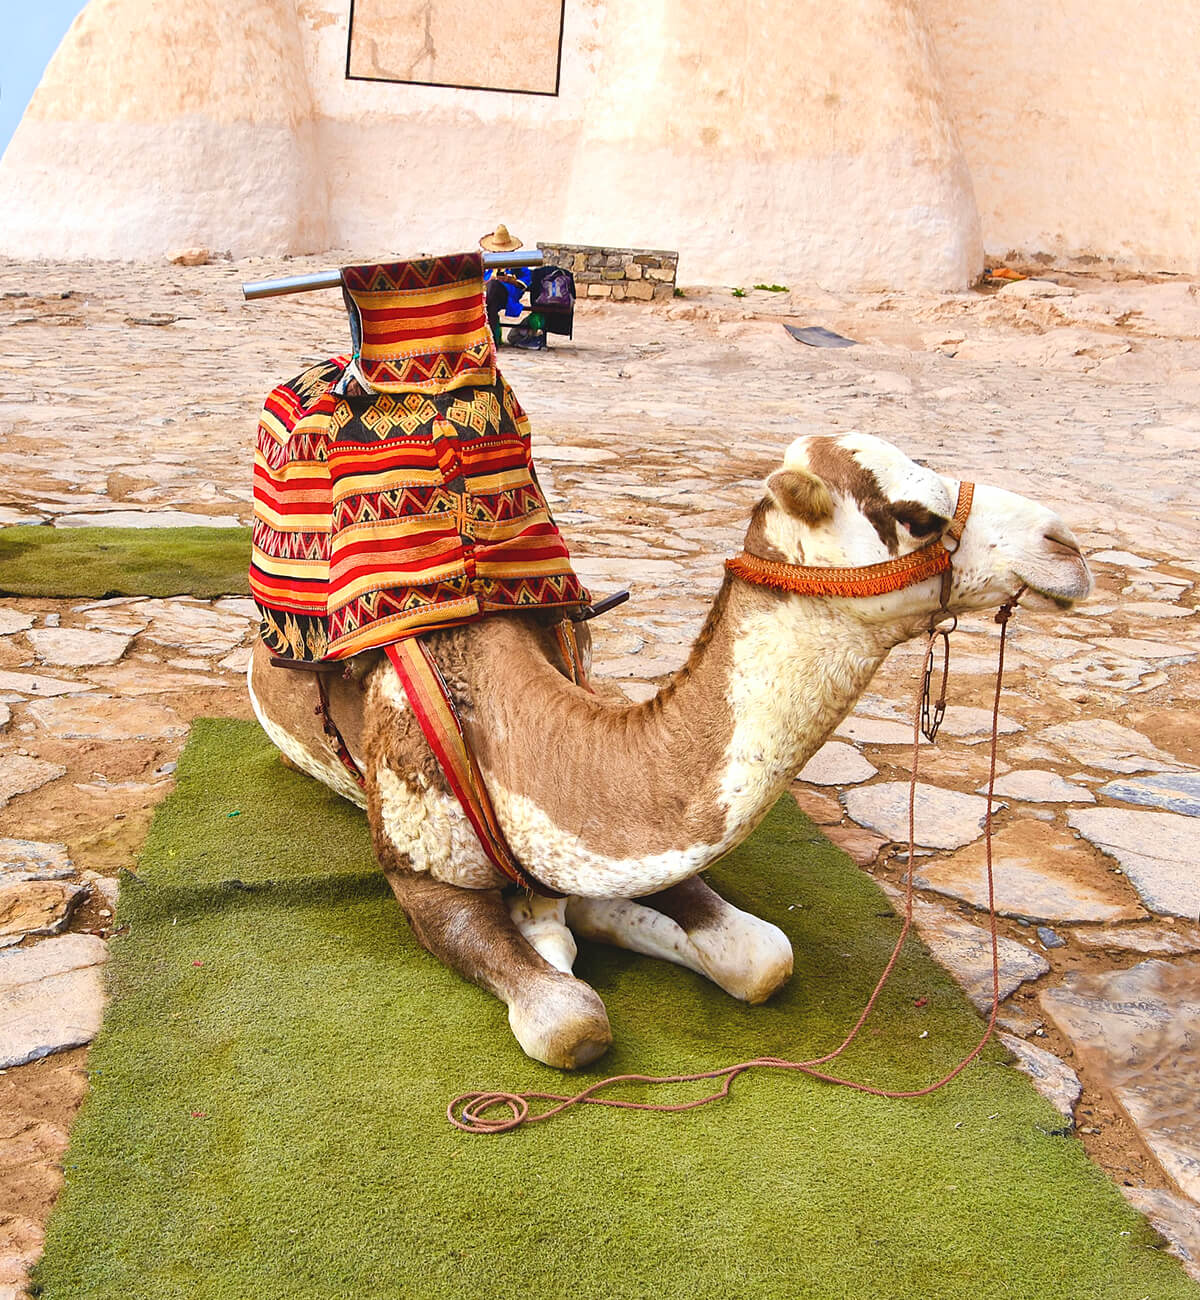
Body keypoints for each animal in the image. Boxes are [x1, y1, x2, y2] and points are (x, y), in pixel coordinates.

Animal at [248, 432, 1092, 1068]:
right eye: (918, 516)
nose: (1068, 546)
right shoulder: (421, 876)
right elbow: (571, 1021)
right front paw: (556, 934)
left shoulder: (632, 846)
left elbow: (763, 957)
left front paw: (585, 921)